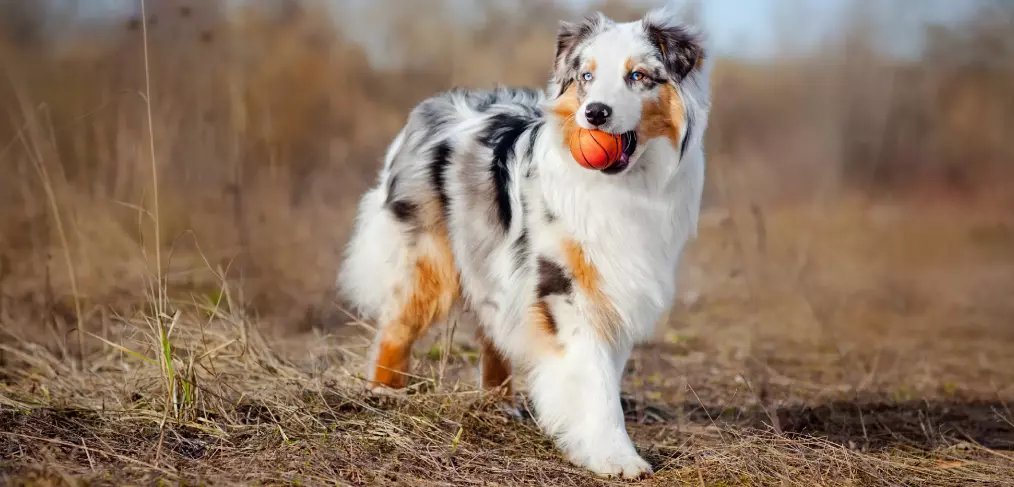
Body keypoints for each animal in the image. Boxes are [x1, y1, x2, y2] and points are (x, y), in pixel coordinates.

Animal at [336, 6, 709, 478]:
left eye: (638, 76)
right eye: (587, 76)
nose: (595, 113)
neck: (623, 186)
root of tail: (430, 107)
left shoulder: (615, 287)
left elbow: (604, 373)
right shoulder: (564, 288)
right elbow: (596, 382)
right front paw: (615, 457)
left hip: (492, 262)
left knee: (492, 330)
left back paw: (500, 404)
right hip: (429, 259)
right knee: (397, 325)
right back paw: (384, 393)